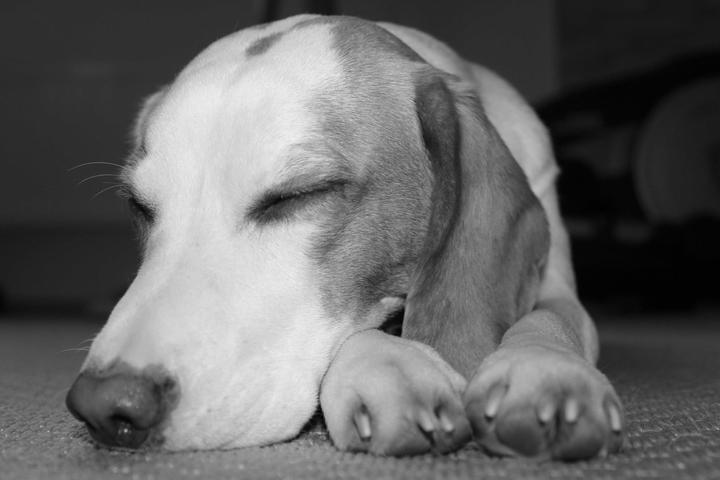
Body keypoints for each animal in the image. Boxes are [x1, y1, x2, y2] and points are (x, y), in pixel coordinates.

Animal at [66, 15, 624, 459]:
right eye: (138, 206)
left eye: (296, 196)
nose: (102, 407)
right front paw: (387, 365)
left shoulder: (557, 286)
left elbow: (552, 319)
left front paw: (544, 372)